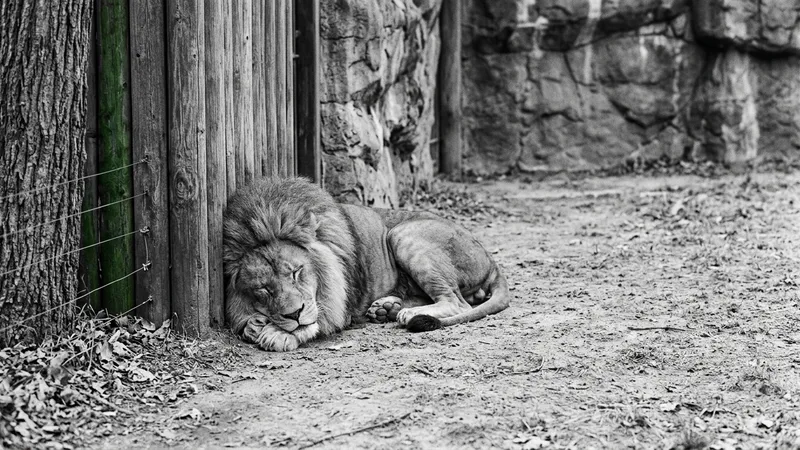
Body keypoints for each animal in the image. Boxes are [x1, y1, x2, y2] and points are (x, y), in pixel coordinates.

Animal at [223, 177, 510, 351]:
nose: (293, 314)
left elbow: (316, 320)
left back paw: (407, 314)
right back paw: (387, 309)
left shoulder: (337, 302)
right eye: (264, 289)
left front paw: (276, 333)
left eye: (296, 272)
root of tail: (491, 260)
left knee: (457, 302)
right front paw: (254, 324)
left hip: (403, 235)